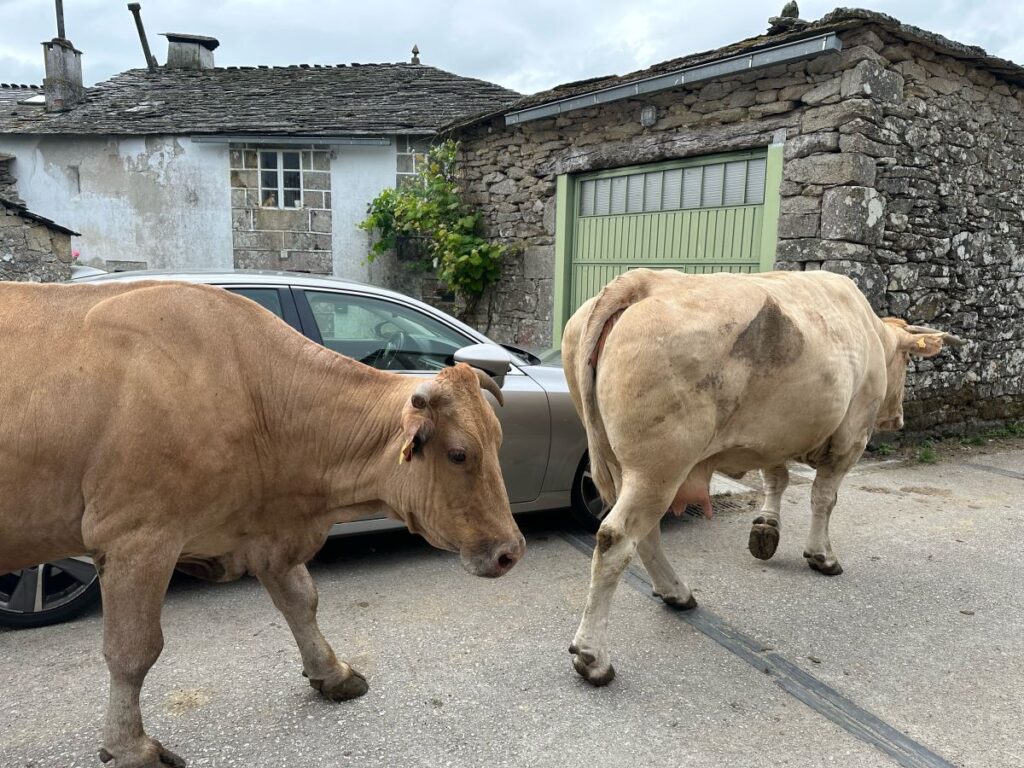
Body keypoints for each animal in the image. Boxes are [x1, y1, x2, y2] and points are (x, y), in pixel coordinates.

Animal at [0, 280, 525, 767]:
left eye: (500, 440)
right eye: (459, 454)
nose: (511, 551)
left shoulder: (269, 532)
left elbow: (301, 601)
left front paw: (331, 672)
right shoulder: (136, 537)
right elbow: (133, 650)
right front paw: (131, 748)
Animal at [561, 268, 962, 686]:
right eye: (906, 360)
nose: (897, 418)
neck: (870, 333)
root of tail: (644, 279)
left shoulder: (772, 438)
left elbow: (777, 479)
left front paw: (766, 528)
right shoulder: (850, 439)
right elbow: (824, 498)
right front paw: (821, 555)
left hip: (630, 468)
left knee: (646, 536)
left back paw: (676, 592)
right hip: (658, 467)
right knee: (617, 539)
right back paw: (593, 657)